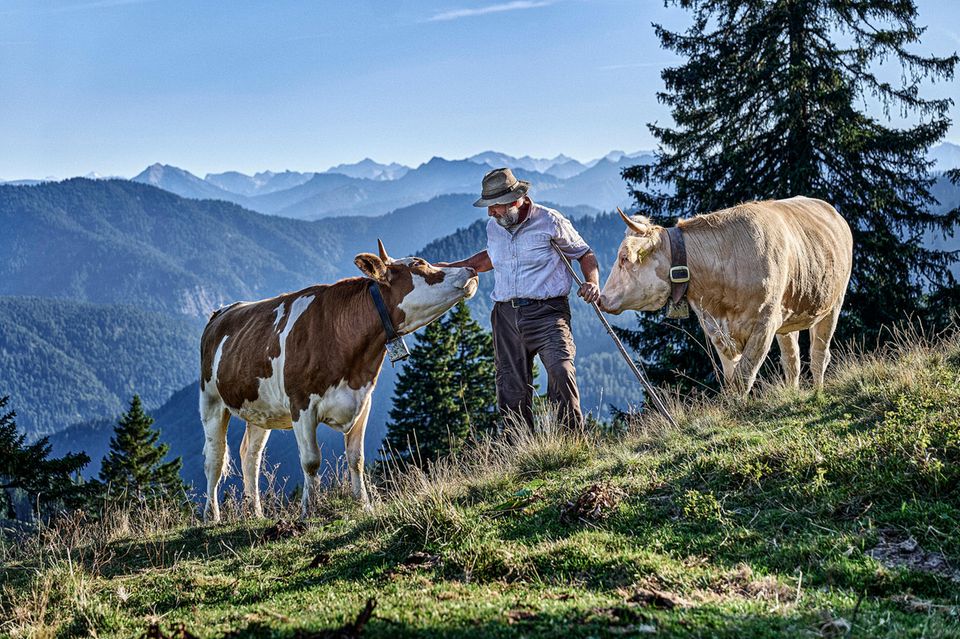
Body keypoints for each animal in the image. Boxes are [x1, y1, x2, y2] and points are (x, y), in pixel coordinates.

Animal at [200, 242, 480, 524]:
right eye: (418, 264)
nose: (471, 269)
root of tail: (221, 312)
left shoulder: (363, 401)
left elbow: (356, 458)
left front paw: (364, 505)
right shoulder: (301, 405)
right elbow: (311, 461)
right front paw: (308, 511)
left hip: (260, 409)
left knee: (251, 456)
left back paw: (256, 513)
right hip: (211, 401)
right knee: (215, 459)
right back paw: (212, 516)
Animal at [600, 196, 856, 396]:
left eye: (624, 257)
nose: (602, 298)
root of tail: (831, 210)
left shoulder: (765, 325)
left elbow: (744, 376)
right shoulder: (715, 328)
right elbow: (732, 378)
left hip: (833, 304)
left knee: (819, 355)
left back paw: (817, 392)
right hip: (789, 316)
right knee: (791, 360)